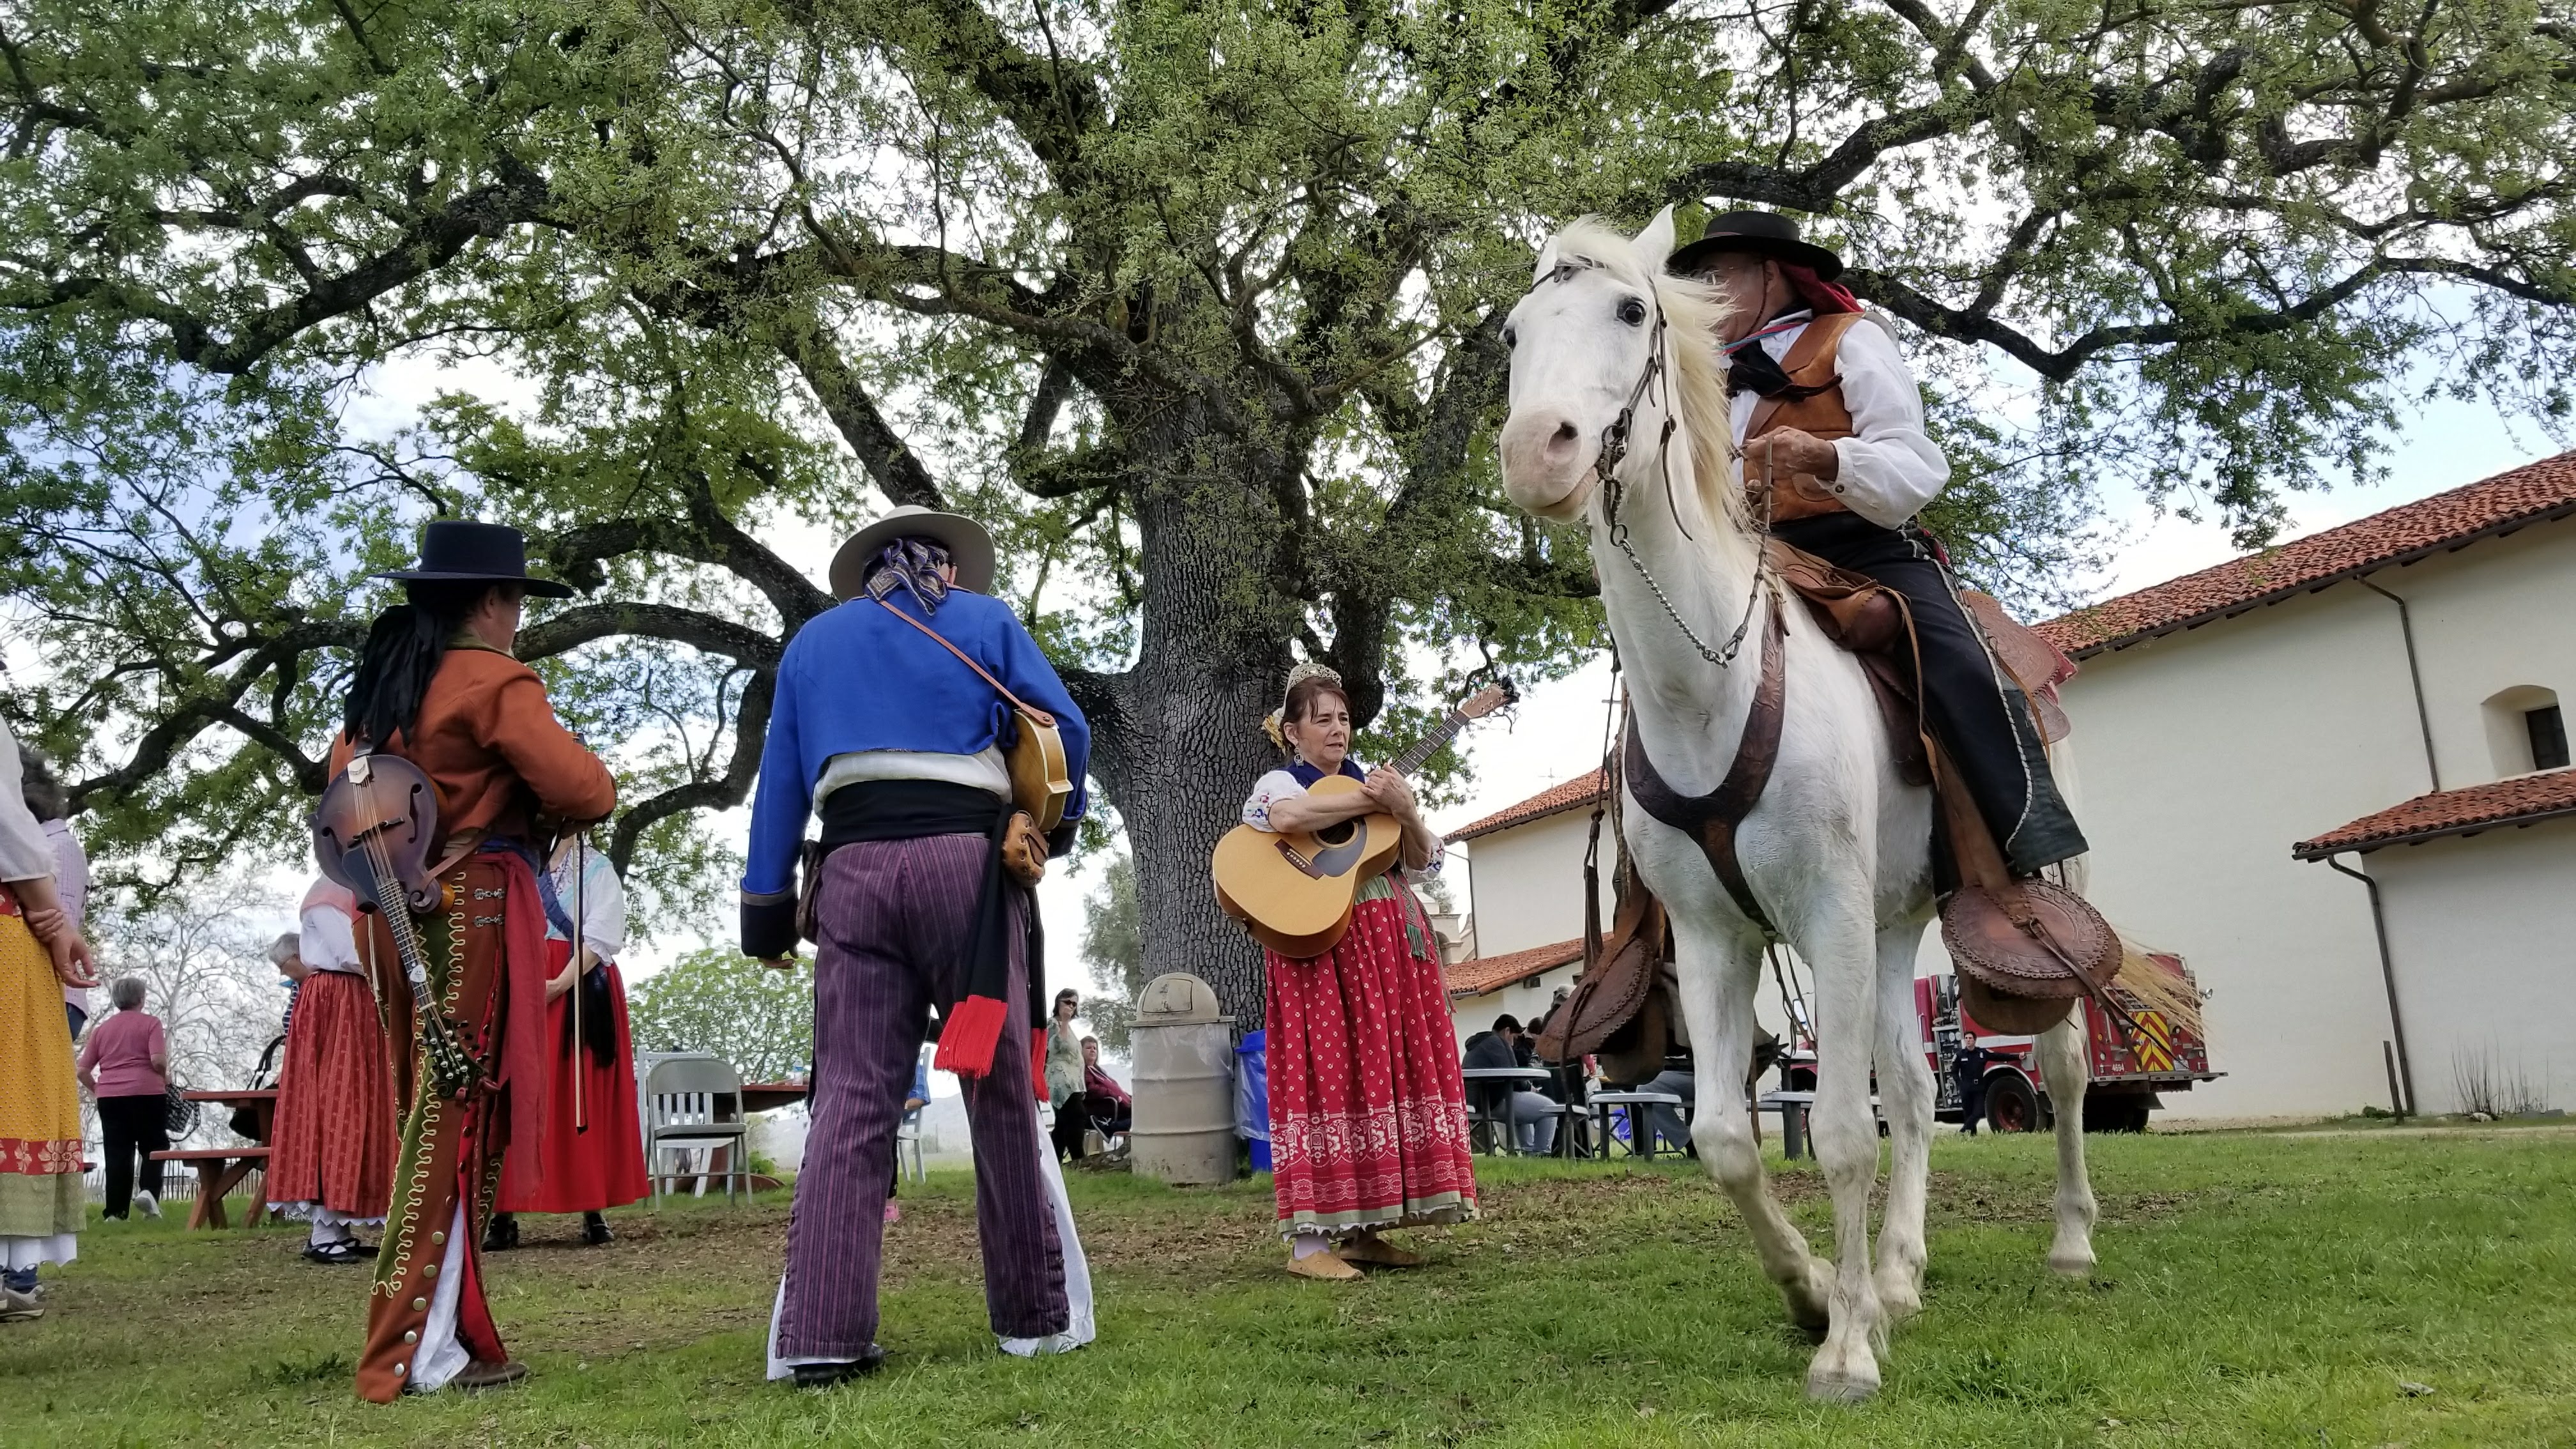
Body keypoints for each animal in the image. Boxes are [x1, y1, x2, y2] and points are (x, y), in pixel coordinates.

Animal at [1494, 208, 2091, 1392]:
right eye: (1513, 333)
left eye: (1629, 310)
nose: (1539, 450)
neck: (1710, 687)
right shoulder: (1717, 936)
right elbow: (1728, 1136)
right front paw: (1817, 1291)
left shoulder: (1825, 913)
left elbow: (1843, 1131)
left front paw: (1848, 1352)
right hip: (1895, 924)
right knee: (1916, 1087)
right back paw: (1900, 1275)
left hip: (2029, 901)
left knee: (2061, 1060)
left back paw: (2070, 1241)